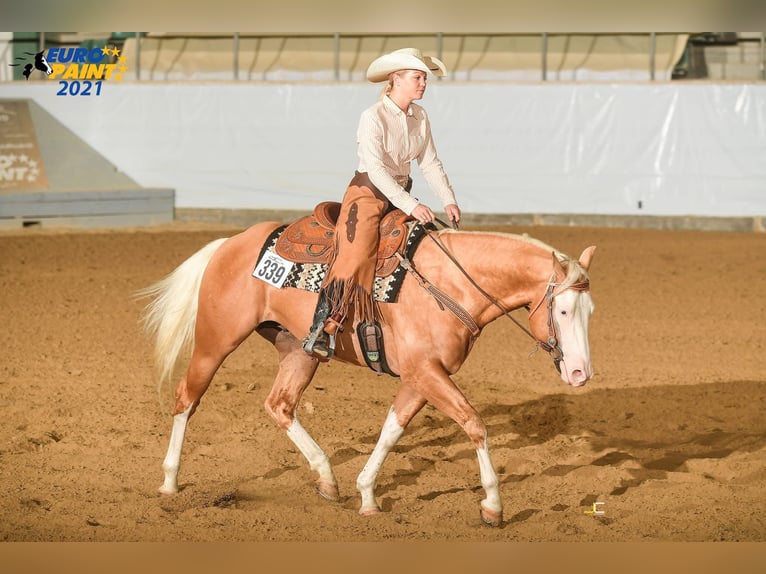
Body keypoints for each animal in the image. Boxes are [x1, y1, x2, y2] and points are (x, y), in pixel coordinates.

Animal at [137, 214, 596, 526]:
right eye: (563, 310)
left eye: (590, 311)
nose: (581, 374)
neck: (449, 283)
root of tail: (230, 242)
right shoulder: (426, 372)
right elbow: (474, 424)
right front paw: (493, 506)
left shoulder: (419, 377)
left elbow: (392, 430)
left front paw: (367, 495)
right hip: (215, 341)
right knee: (187, 398)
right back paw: (170, 481)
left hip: (299, 351)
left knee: (279, 404)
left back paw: (326, 478)